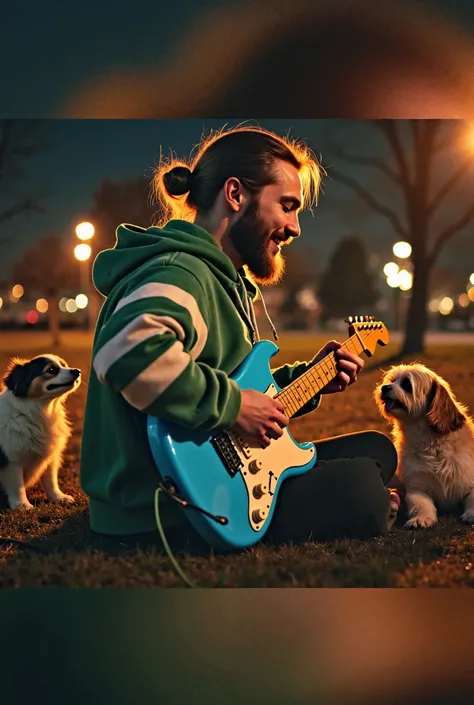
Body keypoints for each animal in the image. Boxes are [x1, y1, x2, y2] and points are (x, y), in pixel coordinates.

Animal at [0, 354, 81, 508]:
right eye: (51, 369)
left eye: (64, 365)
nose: (77, 371)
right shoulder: (12, 460)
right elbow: (17, 485)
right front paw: (23, 506)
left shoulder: (51, 457)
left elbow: (51, 481)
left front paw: (59, 498)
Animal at [374, 364, 474, 528]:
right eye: (392, 380)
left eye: (407, 384)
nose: (385, 387)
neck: (431, 444)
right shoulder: (416, 487)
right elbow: (420, 503)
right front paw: (421, 518)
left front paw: (471, 514)